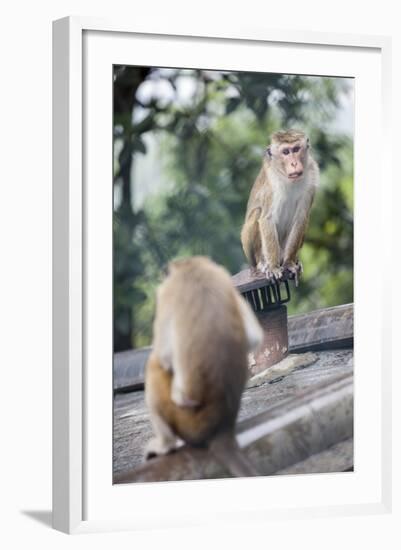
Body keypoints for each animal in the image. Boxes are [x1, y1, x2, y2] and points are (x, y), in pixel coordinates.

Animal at [144, 258, 262, 478]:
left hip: (188, 422)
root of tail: (222, 428)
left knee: (154, 366)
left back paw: (166, 445)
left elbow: (164, 357)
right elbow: (254, 338)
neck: (191, 268)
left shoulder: (167, 292)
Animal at [239, 129, 318, 284]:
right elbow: (266, 219)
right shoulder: (272, 184)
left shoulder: (312, 175)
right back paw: (263, 264)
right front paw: (274, 267)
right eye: (286, 152)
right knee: (257, 213)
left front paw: (289, 263)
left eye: (296, 149)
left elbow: (301, 218)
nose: (294, 163)